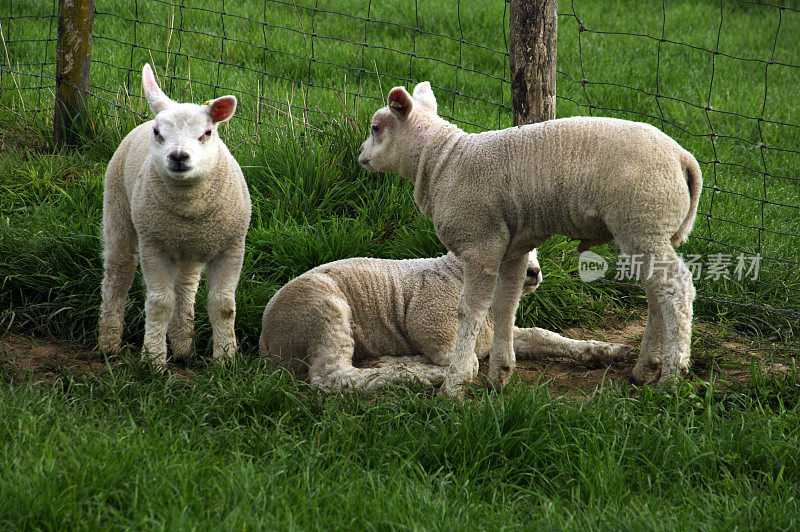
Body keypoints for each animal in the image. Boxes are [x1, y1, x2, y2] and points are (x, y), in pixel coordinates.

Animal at [99, 63, 250, 370]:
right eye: (158, 132)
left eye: (207, 133)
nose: (179, 156)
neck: (190, 210)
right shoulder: (154, 246)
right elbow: (159, 304)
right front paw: (153, 360)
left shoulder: (231, 247)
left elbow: (223, 306)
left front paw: (226, 360)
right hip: (118, 210)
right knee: (118, 274)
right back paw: (109, 343)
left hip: (188, 249)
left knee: (185, 289)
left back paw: (182, 347)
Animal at [260, 249, 632, 390]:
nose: (533, 273)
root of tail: (267, 341)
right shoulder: (434, 327)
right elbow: (469, 366)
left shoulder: (496, 333)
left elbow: (545, 336)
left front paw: (605, 351)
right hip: (322, 311)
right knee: (332, 377)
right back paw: (407, 374)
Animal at [356, 82, 700, 394]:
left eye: (376, 128)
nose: (360, 154)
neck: (443, 161)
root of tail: (683, 158)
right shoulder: (513, 248)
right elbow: (505, 304)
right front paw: (500, 374)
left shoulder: (480, 243)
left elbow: (469, 310)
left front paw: (455, 385)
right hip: (645, 229)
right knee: (656, 293)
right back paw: (646, 368)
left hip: (643, 221)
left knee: (676, 288)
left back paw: (674, 374)